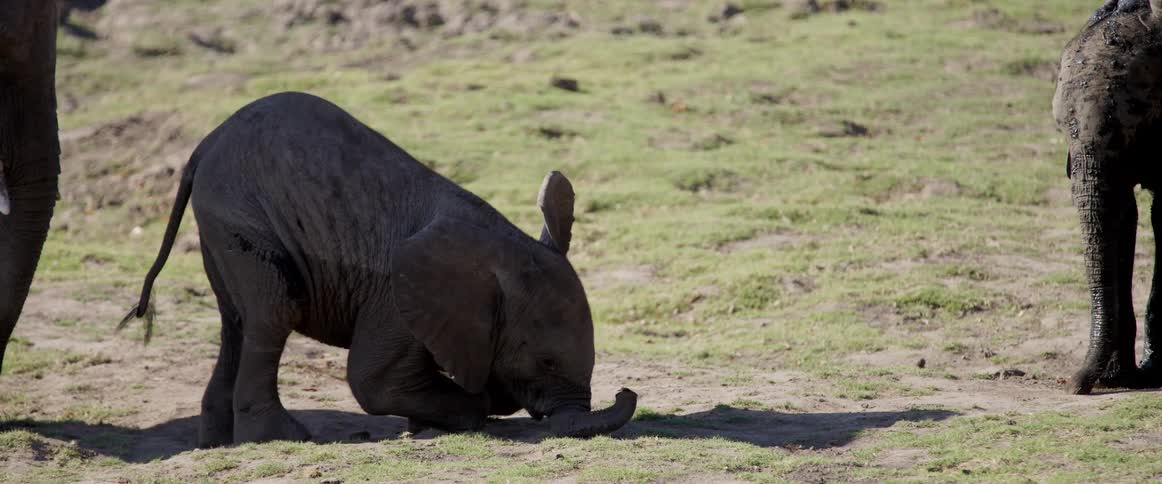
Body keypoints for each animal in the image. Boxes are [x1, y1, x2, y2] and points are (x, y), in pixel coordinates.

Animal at [119, 91, 637, 447]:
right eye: (546, 362)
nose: (626, 391)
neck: (500, 248)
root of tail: (203, 147)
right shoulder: (396, 302)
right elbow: (373, 382)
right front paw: (471, 411)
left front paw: (428, 421)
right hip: (239, 213)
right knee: (272, 313)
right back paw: (282, 437)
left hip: (223, 223)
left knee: (236, 322)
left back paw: (216, 442)